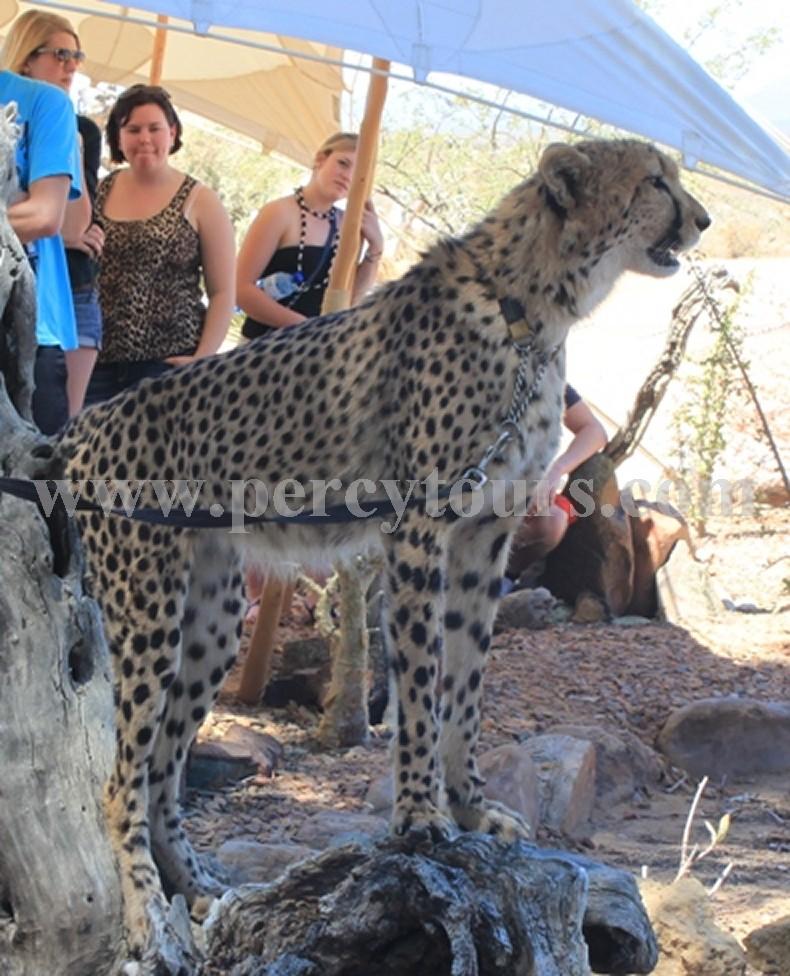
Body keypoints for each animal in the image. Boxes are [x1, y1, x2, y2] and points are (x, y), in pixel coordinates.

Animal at [55, 141, 712, 956]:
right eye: (655, 181)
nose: (703, 219)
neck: (533, 307)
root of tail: (87, 423)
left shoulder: (486, 537)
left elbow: (467, 685)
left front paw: (469, 809)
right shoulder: (420, 530)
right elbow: (423, 686)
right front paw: (422, 818)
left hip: (211, 620)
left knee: (161, 771)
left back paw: (201, 888)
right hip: (148, 611)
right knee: (120, 781)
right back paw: (148, 911)